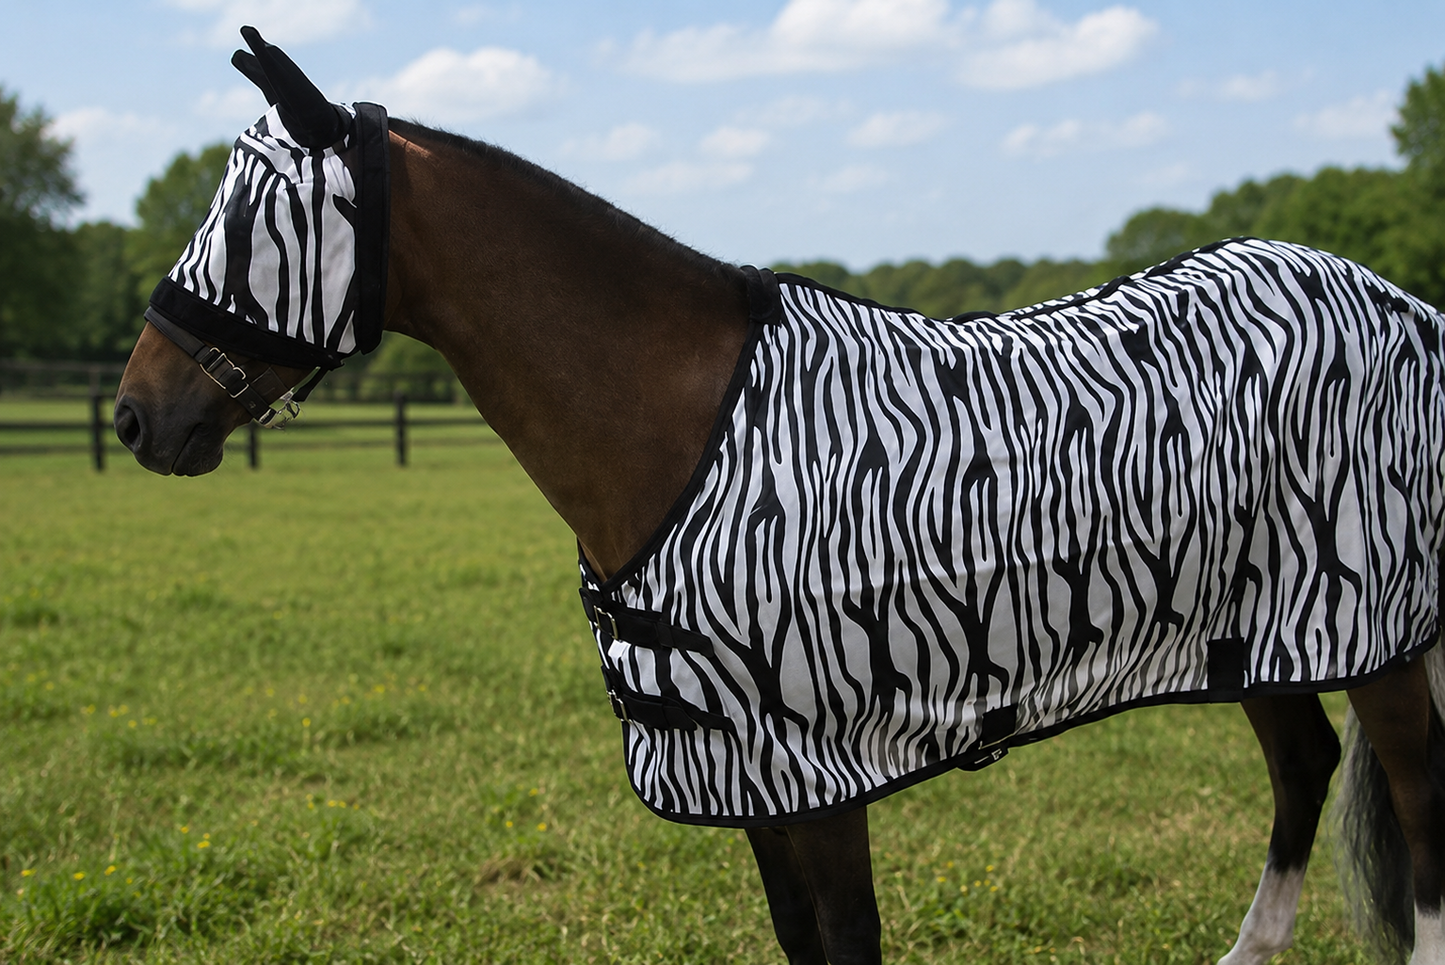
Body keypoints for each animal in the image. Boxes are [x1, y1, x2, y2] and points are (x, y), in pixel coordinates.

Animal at [113, 28, 1445, 965]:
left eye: (246, 221)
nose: (136, 415)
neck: (684, 421)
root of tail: (1399, 302)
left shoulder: (817, 764)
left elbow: (846, 938)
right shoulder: (741, 762)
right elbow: (801, 937)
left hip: (1368, 629)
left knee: (1416, 811)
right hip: (1253, 626)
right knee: (1303, 766)